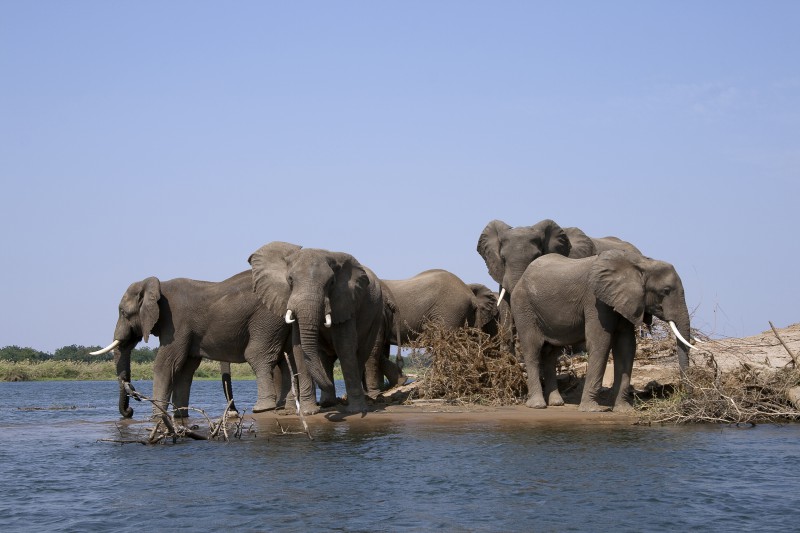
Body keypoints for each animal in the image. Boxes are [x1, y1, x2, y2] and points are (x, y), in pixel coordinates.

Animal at [92, 272, 318, 418]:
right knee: (285, 357)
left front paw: (157, 418)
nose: (130, 411)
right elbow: (185, 369)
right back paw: (284, 409)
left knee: (259, 356)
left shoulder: (176, 322)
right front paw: (180, 417)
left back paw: (263, 409)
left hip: (266, 319)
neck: (156, 285)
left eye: (123, 312)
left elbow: (166, 364)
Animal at [250, 240, 388, 412]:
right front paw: (309, 411)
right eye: (290, 279)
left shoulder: (346, 301)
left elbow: (344, 346)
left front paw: (356, 411)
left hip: (376, 315)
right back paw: (327, 403)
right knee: (325, 357)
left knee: (361, 353)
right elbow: (299, 348)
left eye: (331, 282)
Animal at [512, 249, 692, 412]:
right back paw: (538, 405)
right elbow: (601, 343)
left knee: (551, 353)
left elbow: (627, 347)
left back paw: (557, 403)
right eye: (666, 291)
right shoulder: (595, 300)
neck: (641, 264)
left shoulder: (625, 301)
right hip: (523, 307)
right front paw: (592, 409)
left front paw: (623, 410)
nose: (684, 399)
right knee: (533, 350)